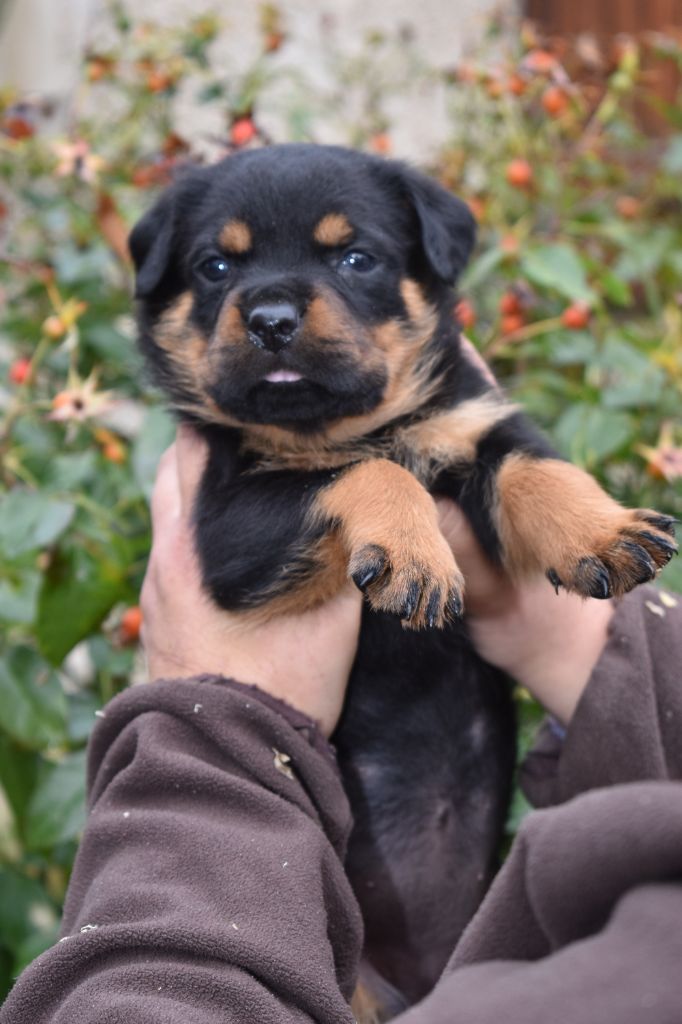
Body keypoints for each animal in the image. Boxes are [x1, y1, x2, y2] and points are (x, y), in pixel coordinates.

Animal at [129, 142, 675, 1007]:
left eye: (356, 259)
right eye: (215, 266)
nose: (270, 319)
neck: (343, 425)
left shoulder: (474, 421)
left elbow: (534, 467)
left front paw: (605, 530)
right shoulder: (226, 527)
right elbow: (367, 473)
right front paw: (414, 554)